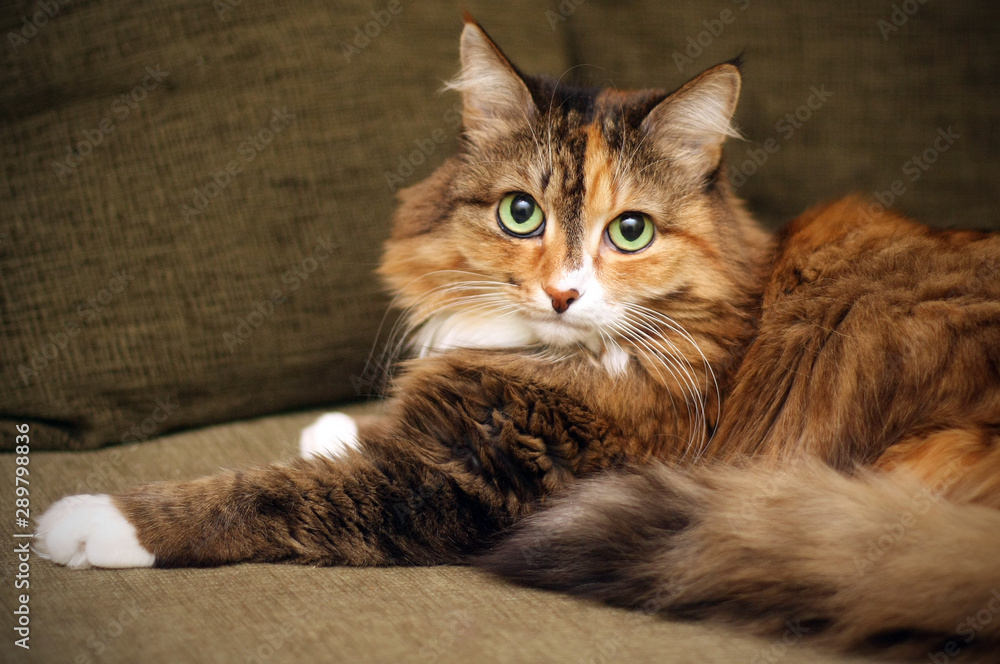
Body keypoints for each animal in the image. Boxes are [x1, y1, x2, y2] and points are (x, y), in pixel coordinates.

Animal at [33, 13, 1000, 660]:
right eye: (520, 213)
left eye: (631, 231)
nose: (564, 293)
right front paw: (330, 425)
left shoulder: (480, 479)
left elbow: (264, 493)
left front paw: (87, 521)